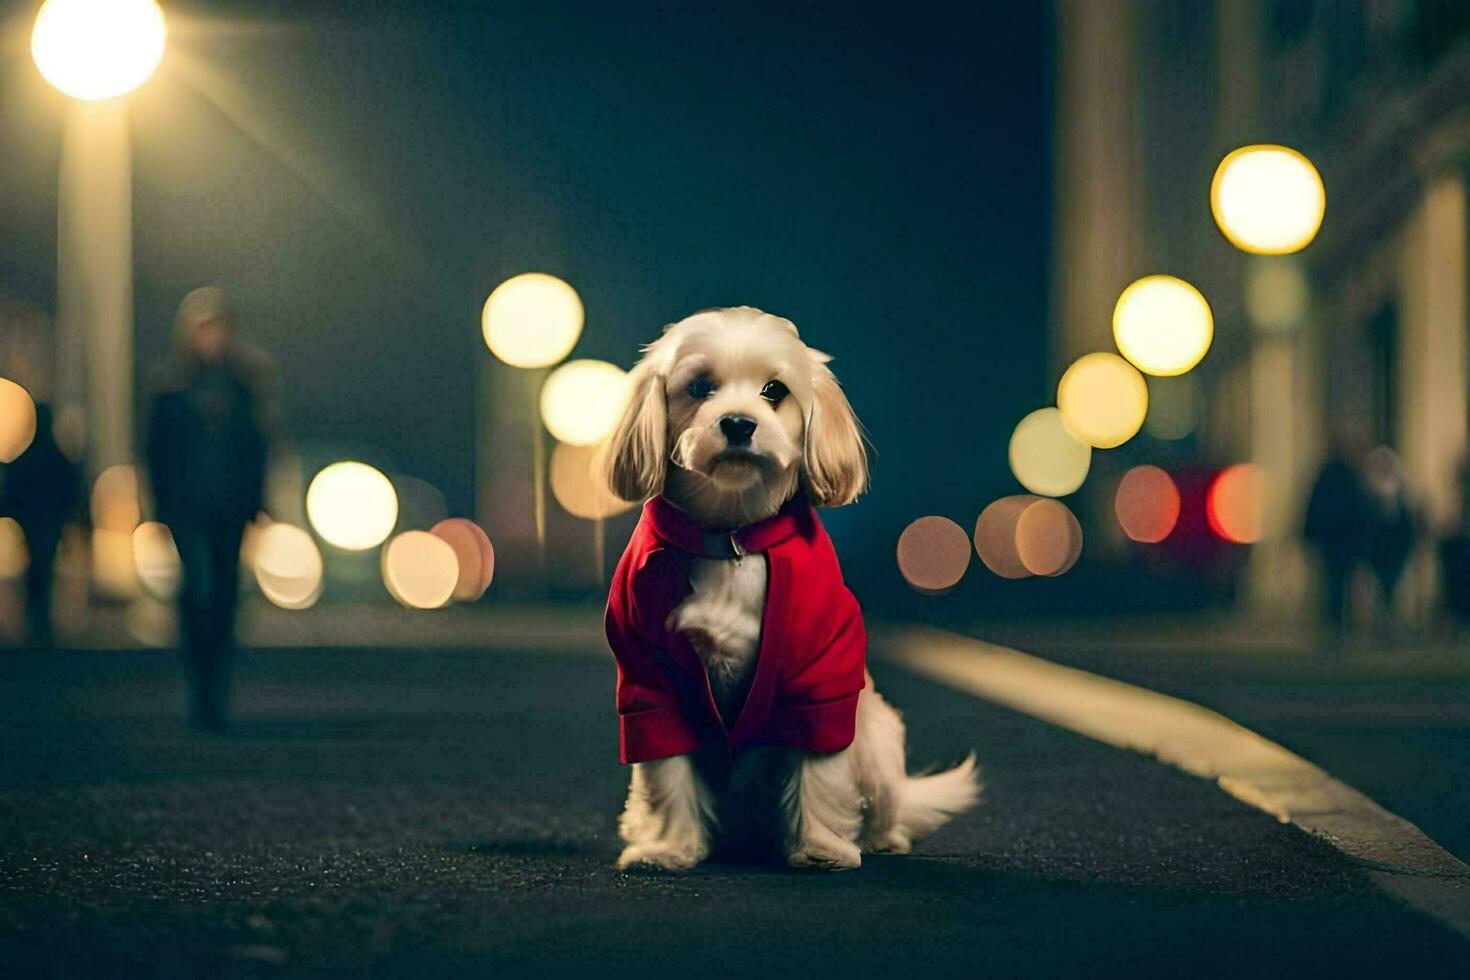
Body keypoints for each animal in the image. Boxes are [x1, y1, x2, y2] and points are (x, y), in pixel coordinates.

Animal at [596, 308, 976, 875]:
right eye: (700, 387)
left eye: (774, 390)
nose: (738, 423)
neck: (730, 537)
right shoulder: (651, 683)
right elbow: (665, 772)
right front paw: (666, 847)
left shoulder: (819, 681)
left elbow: (819, 771)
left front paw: (820, 847)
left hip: (876, 739)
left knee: (886, 806)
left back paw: (882, 838)